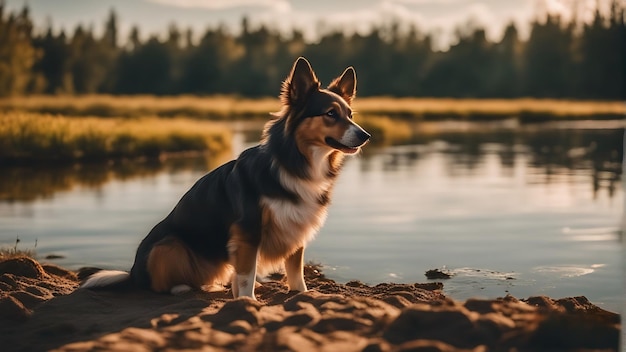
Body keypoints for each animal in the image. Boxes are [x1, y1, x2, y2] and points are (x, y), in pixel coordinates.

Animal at [80, 57, 368, 300]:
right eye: (330, 114)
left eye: (350, 115)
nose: (366, 136)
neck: (294, 161)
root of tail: (133, 273)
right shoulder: (248, 231)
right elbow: (247, 274)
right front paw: (247, 301)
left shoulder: (296, 225)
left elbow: (295, 271)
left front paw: (301, 294)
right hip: (167, 245)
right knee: (160, 284)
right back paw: (182, 287)